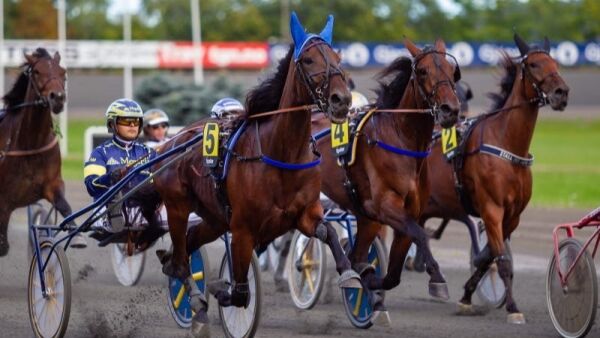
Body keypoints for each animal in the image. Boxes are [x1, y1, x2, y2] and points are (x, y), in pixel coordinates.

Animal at [0, 48, 72, 256]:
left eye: (63, 72)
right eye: (38, 71)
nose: (57, 97)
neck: (31, 144)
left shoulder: (52, 184)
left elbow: (64, 206)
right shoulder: (4, 201)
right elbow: (2, 244)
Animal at [312, 37, 462, 320]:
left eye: (452, 70)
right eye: (422, 71)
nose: (451, 109)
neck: (400, 139)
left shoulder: (406, 212)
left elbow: (393, 273)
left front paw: (369, 282)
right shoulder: (385, 206)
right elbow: (421, 235)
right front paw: (437, 278)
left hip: (366, 218)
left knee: (357, 251)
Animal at [420, 33, 568, 324]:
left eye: (555, 62)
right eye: (533, 64)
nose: (561, 92)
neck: (506, 144)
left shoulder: (513, 215)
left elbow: (489, 255)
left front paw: (467, 294)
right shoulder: (491, 209)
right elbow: (502, 260)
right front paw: (513, 307)